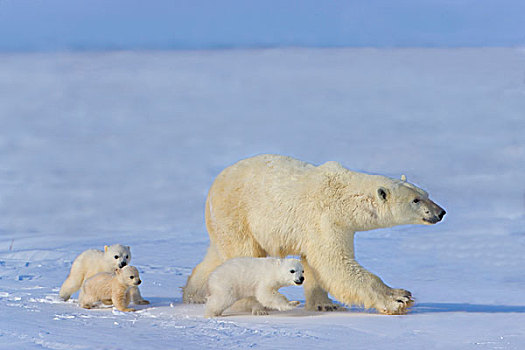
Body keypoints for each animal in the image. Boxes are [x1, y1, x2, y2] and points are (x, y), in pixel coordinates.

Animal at [182, 154, 444, 314]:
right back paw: (255, 305)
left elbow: (316, 265)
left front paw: (325, 306)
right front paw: (398, 298)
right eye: (416, 200)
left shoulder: (335, 226)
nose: (440, 212)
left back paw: (193, 295)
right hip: (238, 213)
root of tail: (216, 183)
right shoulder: (324, 219)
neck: (344, 197)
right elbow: (335, 264)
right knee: (243, 254)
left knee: (217, 255)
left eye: (426, 193)